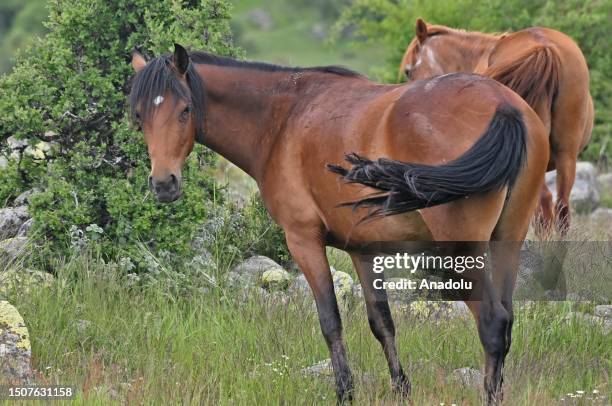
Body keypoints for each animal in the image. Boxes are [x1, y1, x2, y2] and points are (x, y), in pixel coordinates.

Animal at [130, 43, 548, 402]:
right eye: (139, 116)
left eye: (185, 110)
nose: (164, 184)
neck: (282, 118)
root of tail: (503, 107)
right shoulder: (364, 251)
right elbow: (382, 323)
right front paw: (401, 389)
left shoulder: (304, 240)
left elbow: (330, 321)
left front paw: (345, 392)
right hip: (508, 240)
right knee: (506, 322)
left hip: (462, 253)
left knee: (492, 324)